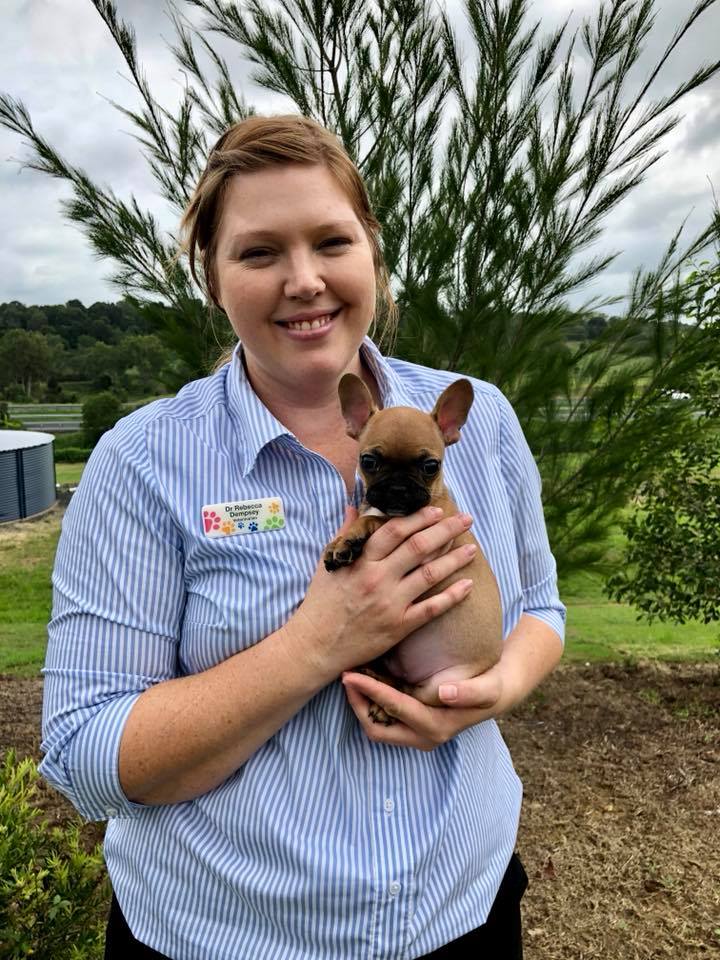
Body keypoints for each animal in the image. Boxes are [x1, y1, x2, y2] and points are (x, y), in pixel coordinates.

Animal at [324, 372, 500, 724]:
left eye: (430, 466)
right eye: (368, 461)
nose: (398, 488)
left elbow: (375, 522)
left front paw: (349, 539)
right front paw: (340, 541)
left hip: (445, 685)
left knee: (412, 693)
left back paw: (383, 701)